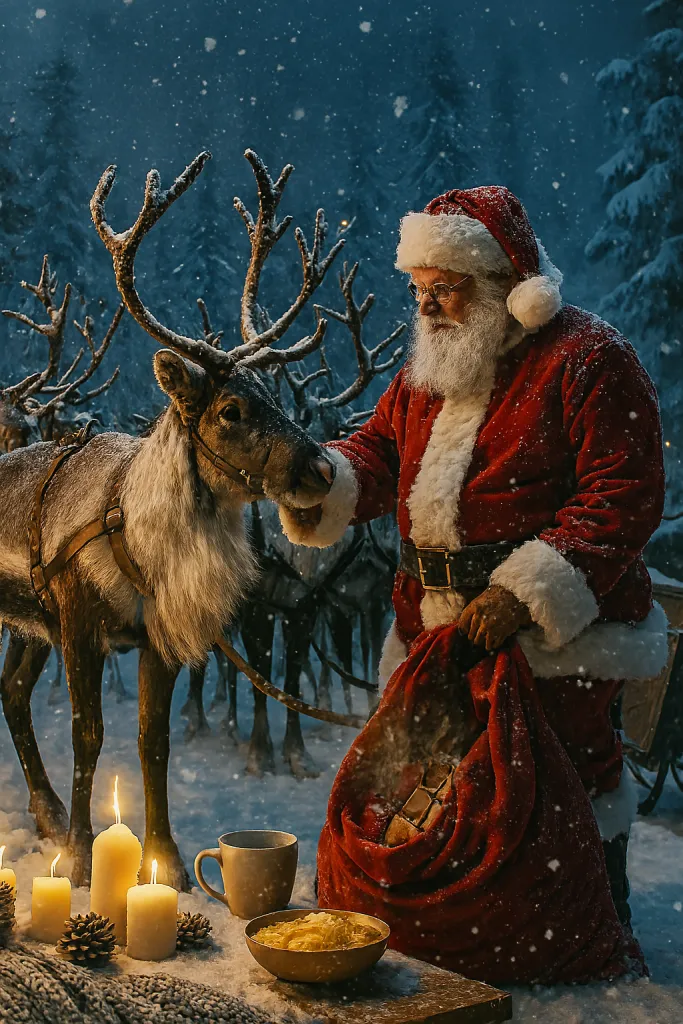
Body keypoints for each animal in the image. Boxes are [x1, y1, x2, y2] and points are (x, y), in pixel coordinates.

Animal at [0, 149, 348, 890]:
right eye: (231, 410)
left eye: (275, 395)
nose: (322, 469)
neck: (139, 537)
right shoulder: (78, 622)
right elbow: (88, 734)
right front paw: (80, 856)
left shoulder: (153, 636)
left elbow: (150, 741)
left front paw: (168, 862)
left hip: (28, 621)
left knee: (11, 692)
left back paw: (44, 812)